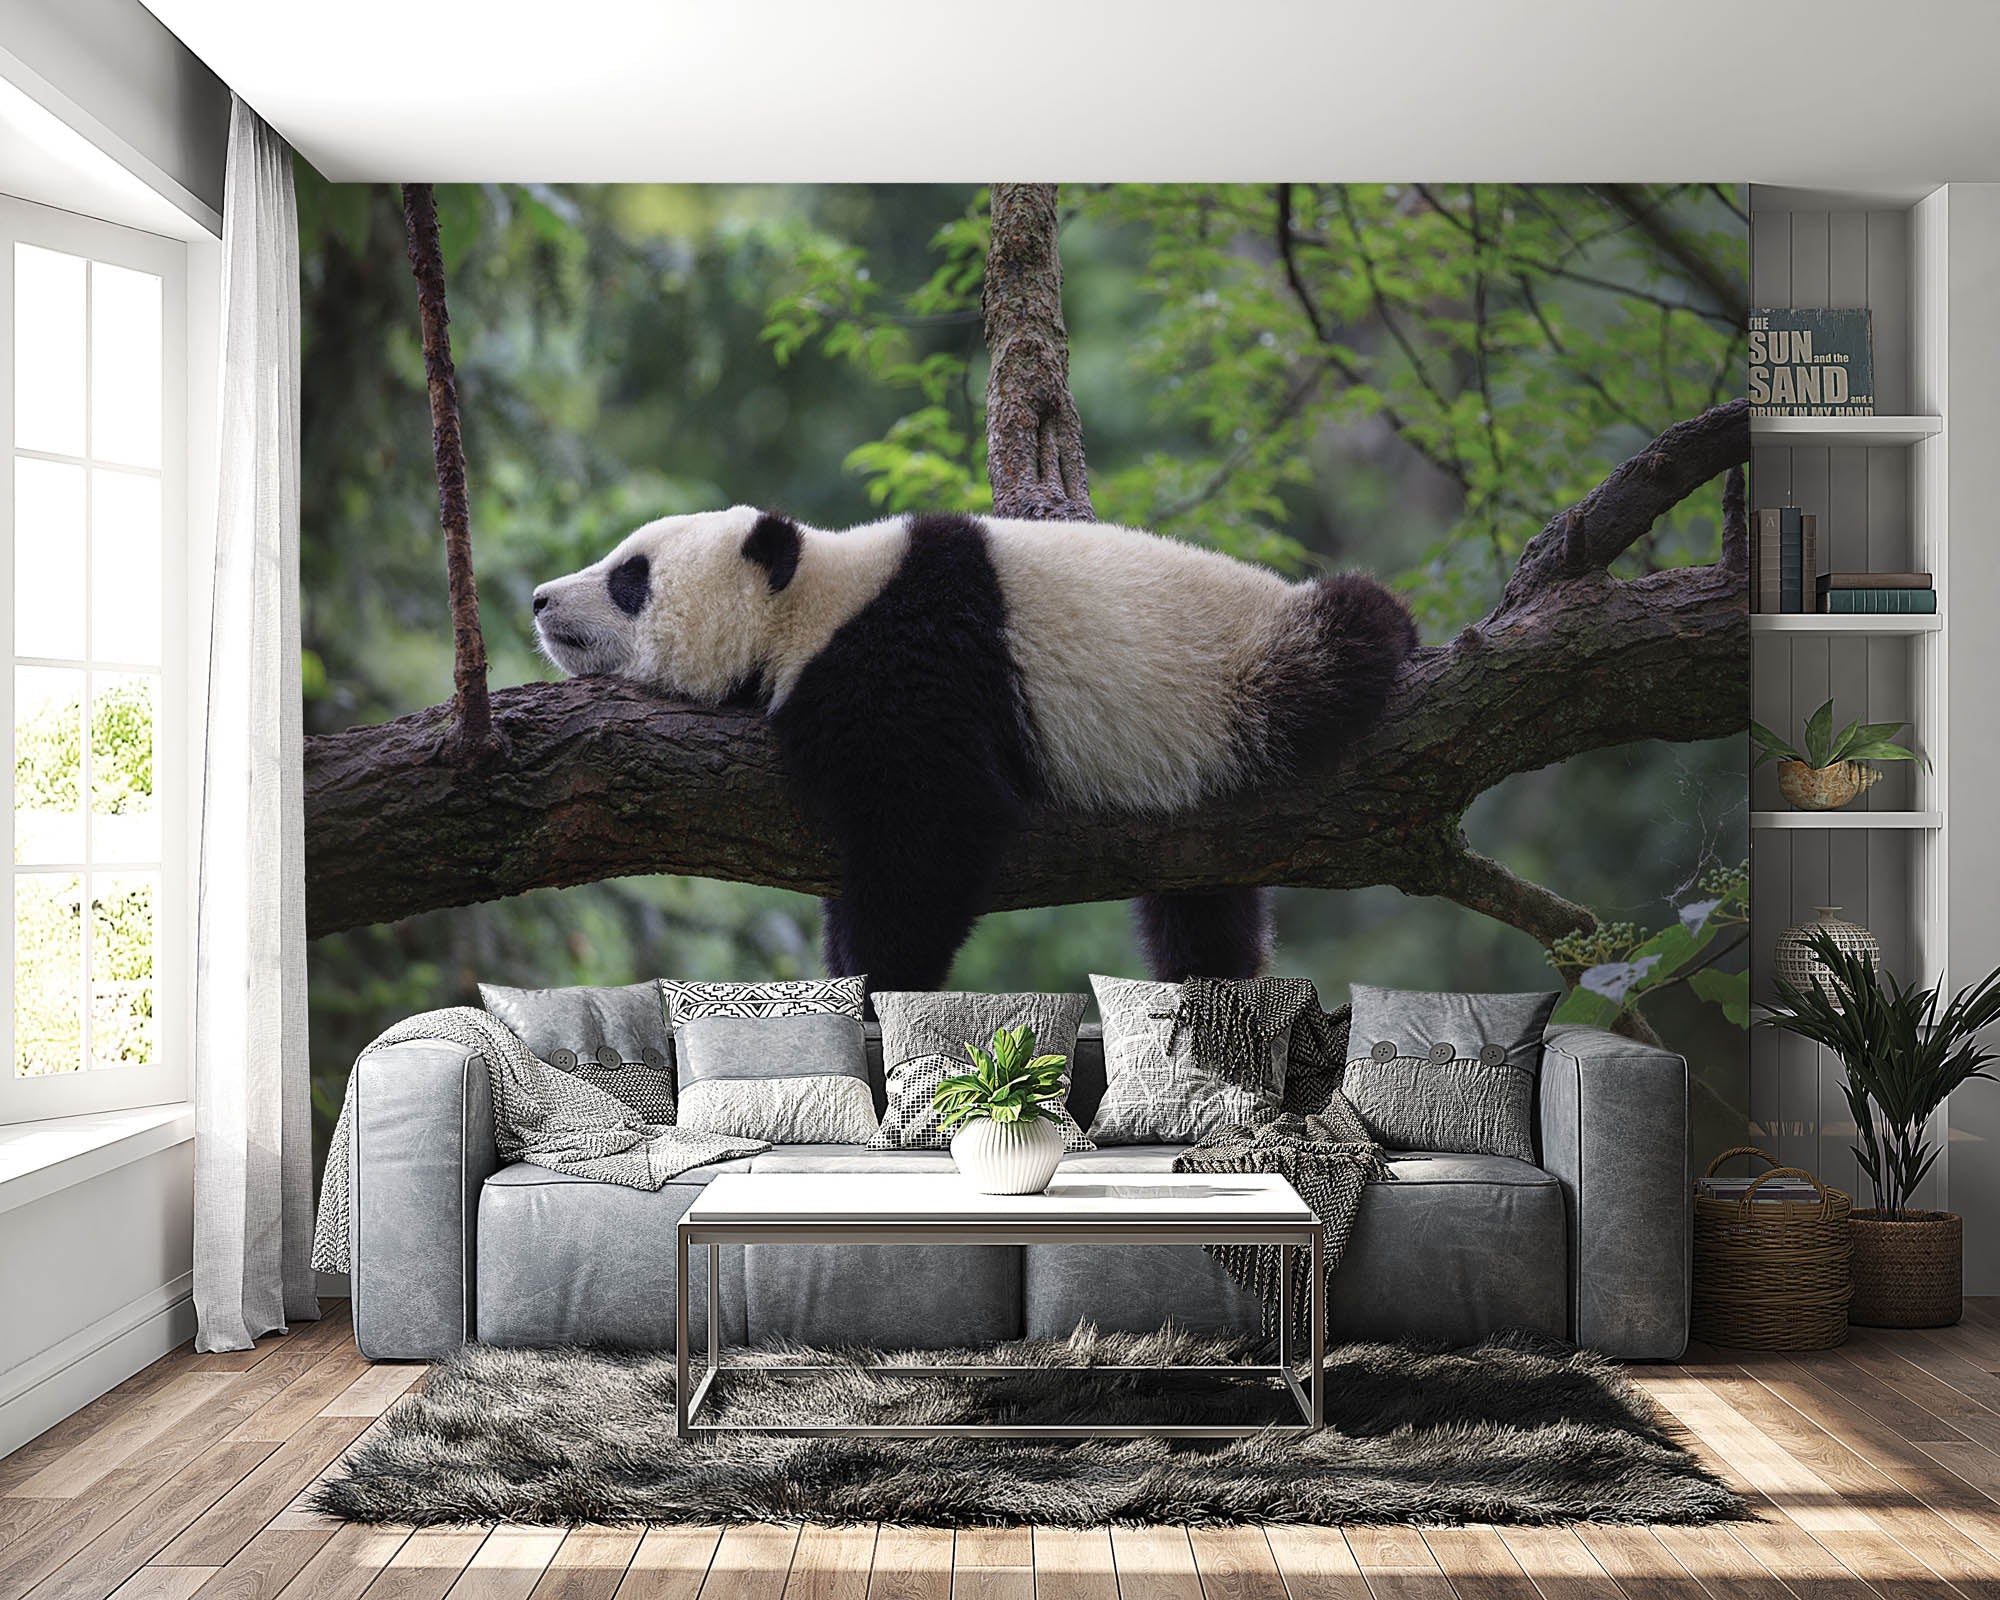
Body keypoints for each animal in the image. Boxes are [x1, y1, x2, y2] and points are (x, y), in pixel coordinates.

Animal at [532, 506, 1416, 992]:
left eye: (630, 577)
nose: (539, 600)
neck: (814, 600)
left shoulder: (912, 660)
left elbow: (936, 823)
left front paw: (877, 977)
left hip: (1245, 668)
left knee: (1342, 642)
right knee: (1202, 909)